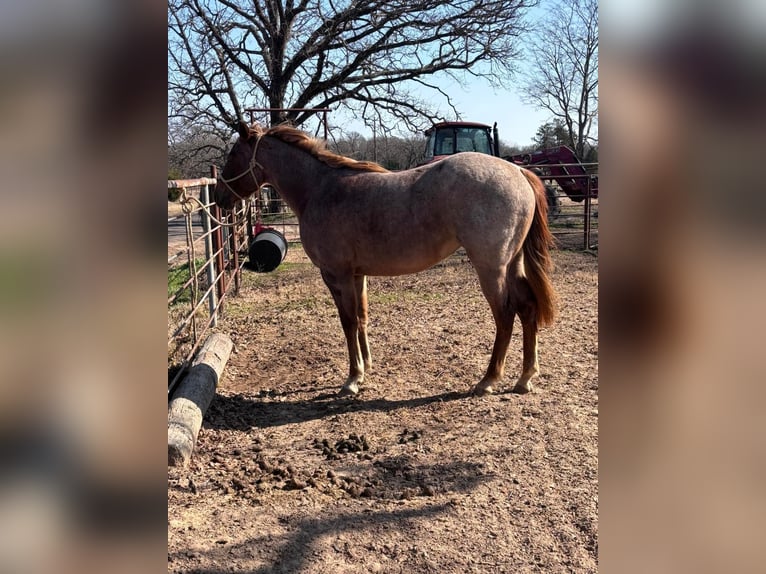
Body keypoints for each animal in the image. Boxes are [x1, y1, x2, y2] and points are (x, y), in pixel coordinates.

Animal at [216, 123, 560, 398]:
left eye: (233, 153)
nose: (219, 197)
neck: (319, 190)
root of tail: (517, 171)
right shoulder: (358, 275)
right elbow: (362, 318)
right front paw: (366, 366)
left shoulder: (337, 275)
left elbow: (348, 321)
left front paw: (352, 379)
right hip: (512, 264)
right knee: (527, 307)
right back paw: (525, 378)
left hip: (491, 269)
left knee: (505, 315)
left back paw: (488, 380)